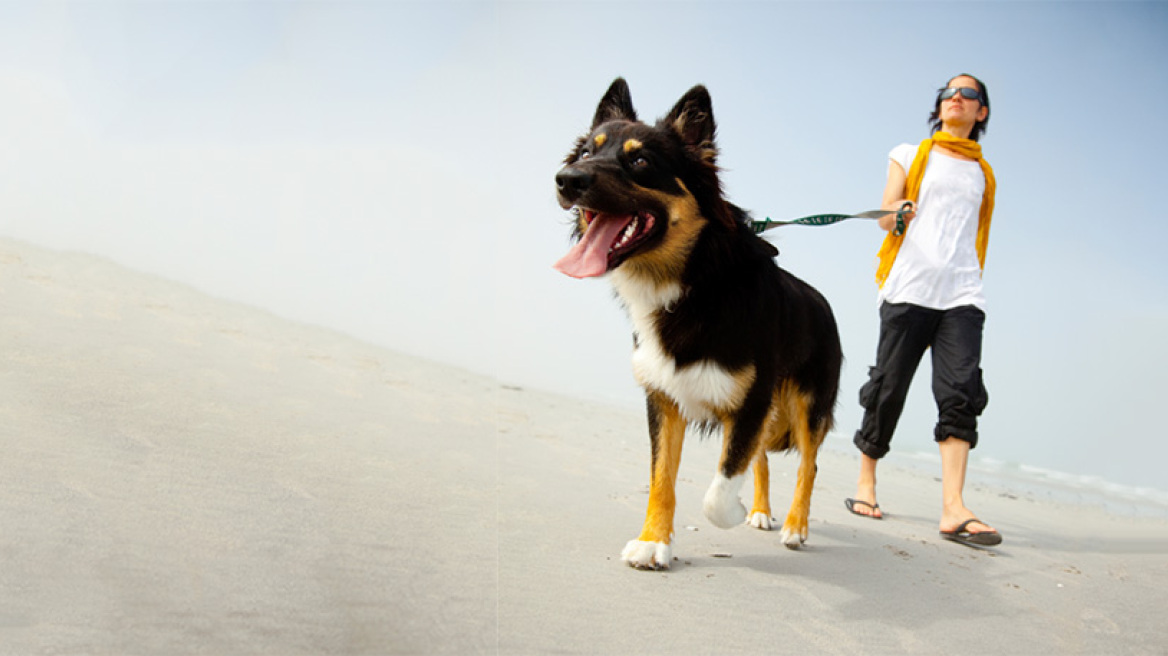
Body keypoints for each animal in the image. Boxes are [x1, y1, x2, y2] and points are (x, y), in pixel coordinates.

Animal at [553, 76, 840, 567]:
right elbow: (661, 479)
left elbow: (719, 489)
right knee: (763, 458)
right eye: (586, 152)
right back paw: (762, 512)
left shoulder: (751, 400)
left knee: (808, 463)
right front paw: (653, 541)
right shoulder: (664, 395)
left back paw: (794, 526)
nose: (567, 179)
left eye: (641, 161)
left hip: (807, 404)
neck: (693, 282)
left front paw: (733, 509)